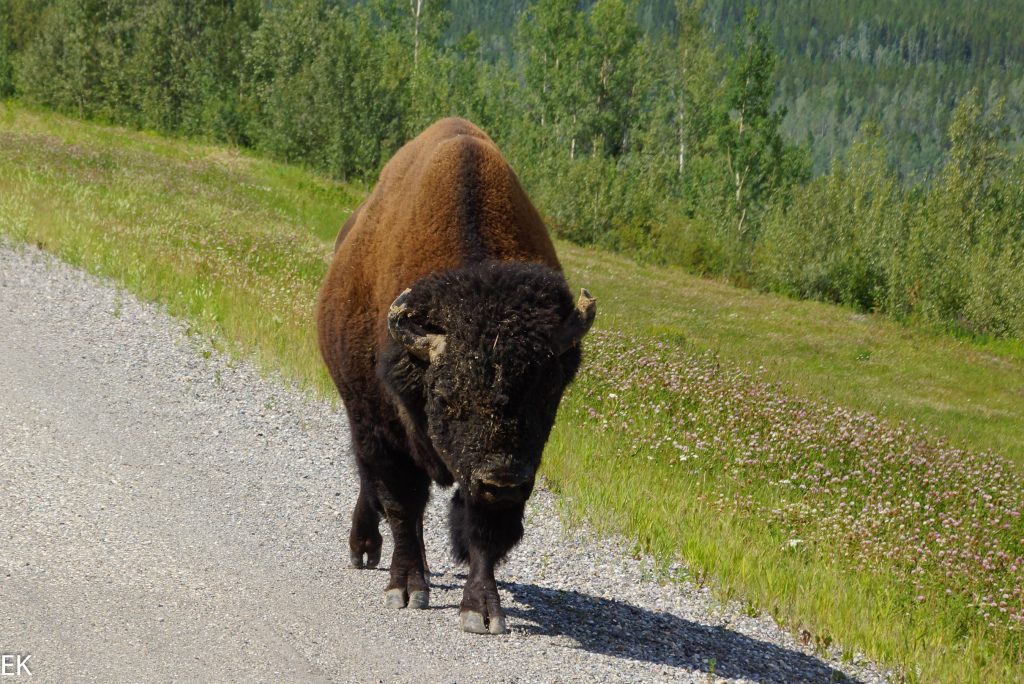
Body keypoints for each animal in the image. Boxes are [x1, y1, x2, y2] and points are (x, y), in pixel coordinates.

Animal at [315, 117, 598, 634]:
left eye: (547, 395)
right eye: (446, 397)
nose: (502, 480)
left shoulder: (507, 471)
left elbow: (483, 530)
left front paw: (482, 611)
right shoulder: (385, 429)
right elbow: (402, 504)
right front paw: (406, 589)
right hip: (361, 414)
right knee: (371, 483)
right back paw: (366, 551)